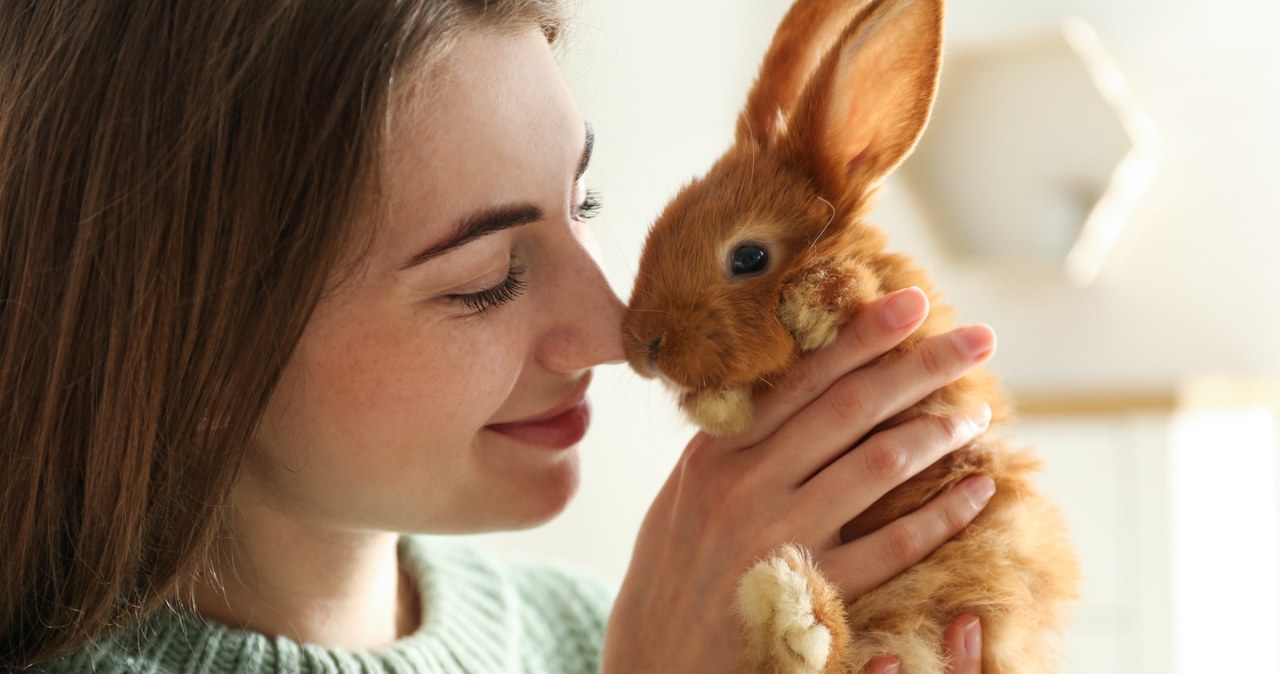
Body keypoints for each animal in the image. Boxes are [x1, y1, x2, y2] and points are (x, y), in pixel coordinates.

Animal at [619, 0, 1080, 670]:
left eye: (749, 256)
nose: (644, 347)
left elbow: (850, 288)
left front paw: (810, 307)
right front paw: (719, 406)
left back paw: (795, 606)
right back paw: (791, 607)